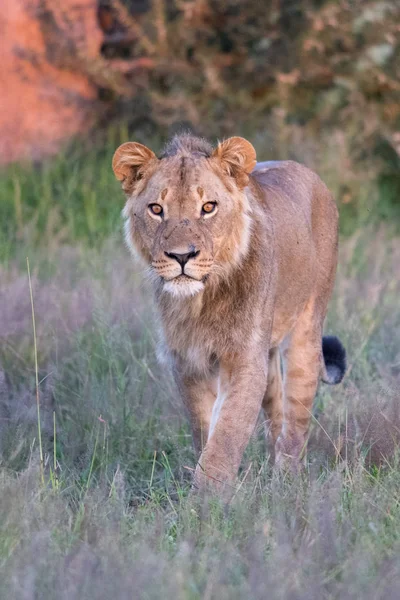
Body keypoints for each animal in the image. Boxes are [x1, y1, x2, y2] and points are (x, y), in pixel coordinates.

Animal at [111, 134, 344, 494]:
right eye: (156, 209)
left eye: (208, 207)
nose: (182, 256)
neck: (202, 300)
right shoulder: (188, 361)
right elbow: (206, 428)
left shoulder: (244, 357)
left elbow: (228, 431)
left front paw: (209, 499)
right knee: (276, 413)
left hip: (306, 331)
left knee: (295, 421)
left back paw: (286, 485)